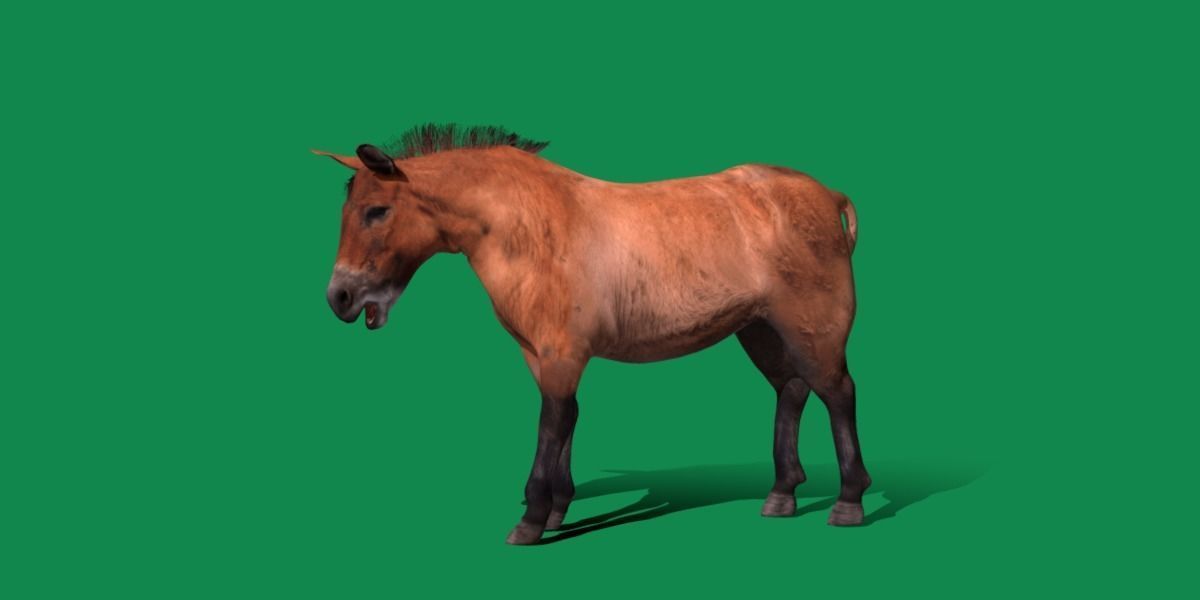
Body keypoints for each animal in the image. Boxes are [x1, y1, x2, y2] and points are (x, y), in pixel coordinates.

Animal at [315, 124, 869, 545]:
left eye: (377, 211)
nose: (340, 297)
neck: (527, 227)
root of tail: (829, 196)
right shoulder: (540, 354)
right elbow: (567, 419)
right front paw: (559, 510)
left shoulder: (562, 353)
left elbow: (552, 422)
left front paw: (531, 520)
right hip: (761, 330)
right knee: (791, 391)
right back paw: (782, 494)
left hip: (812, 328)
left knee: (838, 393)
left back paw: (848, 502)